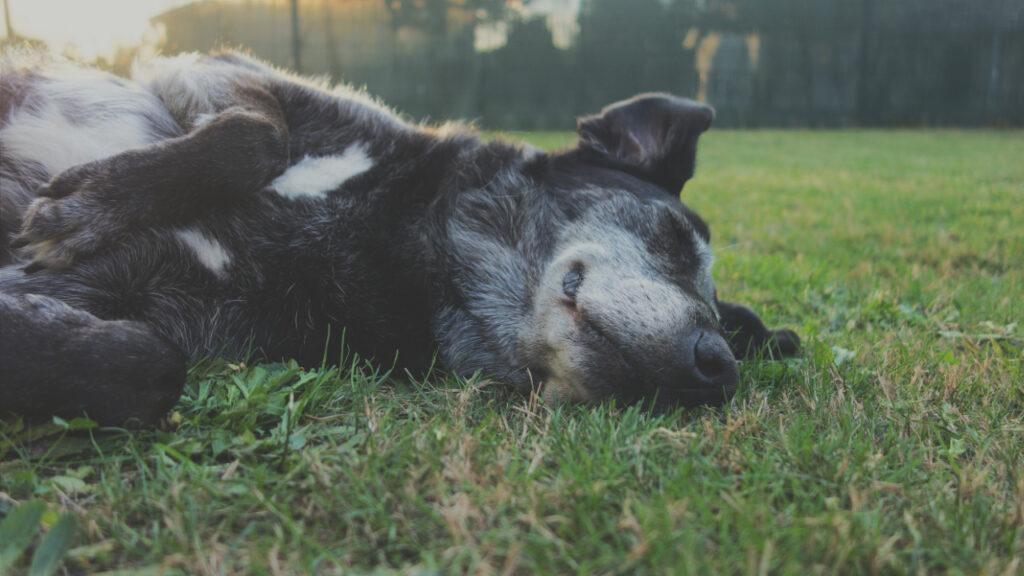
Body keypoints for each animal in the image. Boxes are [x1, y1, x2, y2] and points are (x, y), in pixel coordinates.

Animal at [0, 49, 798, 424]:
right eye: (673, 236)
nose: (717, 369)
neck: (398, 241)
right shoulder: (216, 71)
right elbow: (254, 138)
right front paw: (84, 205)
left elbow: (146, 365)